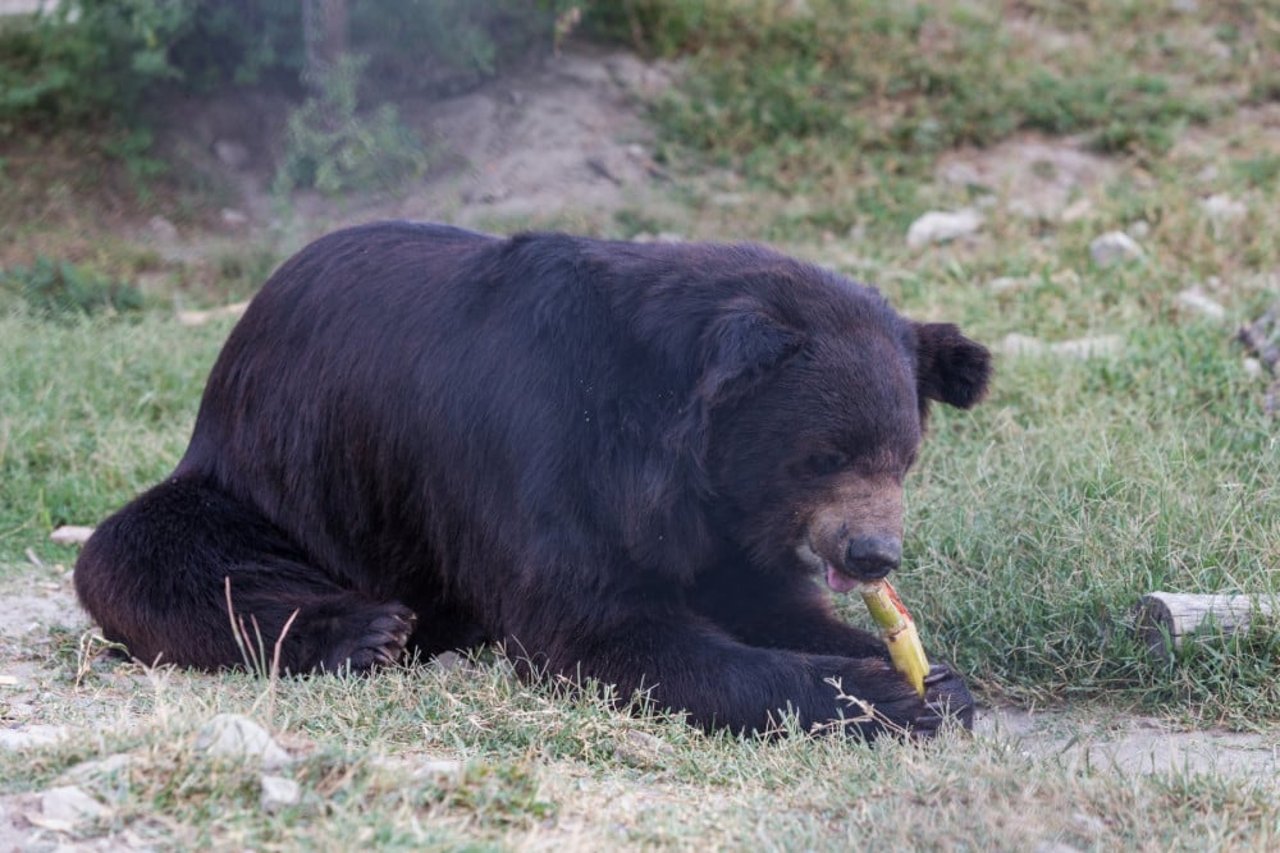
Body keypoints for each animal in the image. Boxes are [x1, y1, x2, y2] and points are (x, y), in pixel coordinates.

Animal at [74, 221, 991, 739]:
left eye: (904, 458)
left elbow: (766, 601)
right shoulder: (536, 452)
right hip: (271, 483)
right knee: (147, 556)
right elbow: (600, 629)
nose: (874, 554)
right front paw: (881, 694)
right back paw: (369, 630)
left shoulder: (723, 520)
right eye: (821, 455)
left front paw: (935, 679)